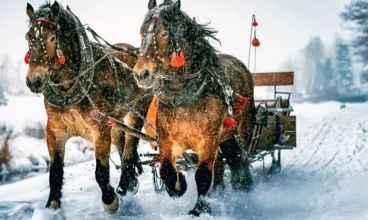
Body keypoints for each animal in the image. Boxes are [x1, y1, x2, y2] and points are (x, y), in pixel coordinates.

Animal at [25, 1, 152, 211]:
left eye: (52, 38)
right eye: (27, 37)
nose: (33, 81)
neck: (71, 90)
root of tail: (135, 51)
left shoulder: (99, 129)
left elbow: (100, 171)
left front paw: (110, 200)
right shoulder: (55, 130)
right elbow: (55, 171)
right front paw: (52, 203)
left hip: (139, 109)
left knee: (130, 147)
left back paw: (124, 185)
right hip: (116, 122)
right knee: (122, 145)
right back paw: (131, 181)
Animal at [133, 0, 256, 217]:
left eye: (164, 33)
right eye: (141, 32)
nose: (141, 74)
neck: (184, 97)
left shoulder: (207, 139)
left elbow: (203, 174)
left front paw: (200, 208)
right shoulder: (168, 139)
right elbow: (166, 170)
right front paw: (179, 185)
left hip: (242, 129)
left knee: (239, 158)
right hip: (225, 136)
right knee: (224, 162)